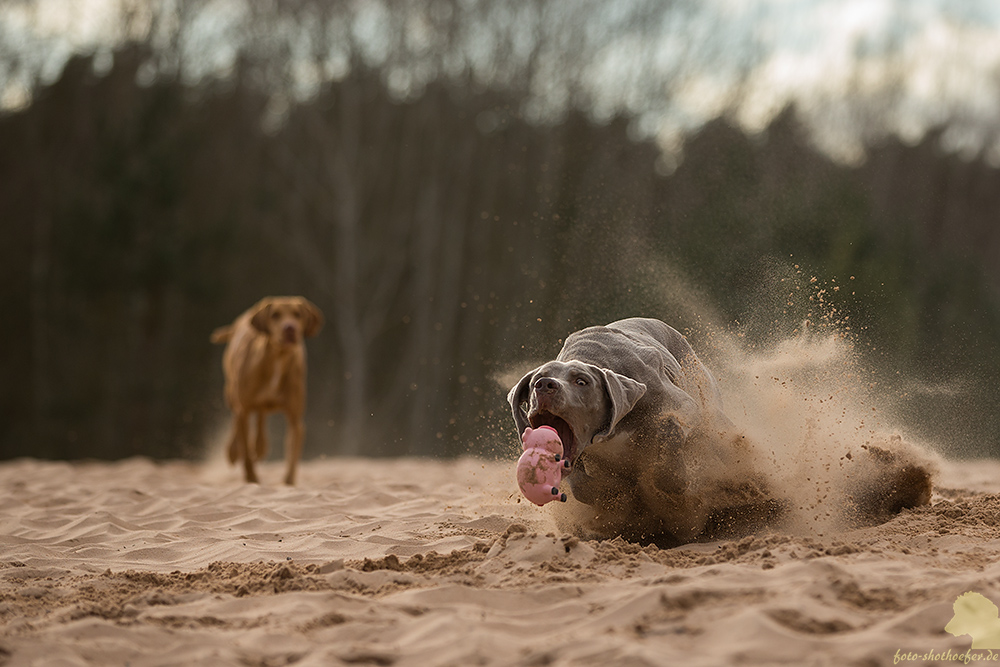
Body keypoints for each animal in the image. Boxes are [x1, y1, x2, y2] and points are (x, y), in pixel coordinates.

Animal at [212, 298, 324, 486]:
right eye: (275, 315)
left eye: (297, 315)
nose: (290, 328)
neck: (278, 358)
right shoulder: (244, 410)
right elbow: (246, 454)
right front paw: (252, 478)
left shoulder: (295, 419)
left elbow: (292, 456)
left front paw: (288, 482)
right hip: (231, 393)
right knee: (237, 418)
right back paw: (234, 451)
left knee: (261, 417)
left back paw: (260, 446)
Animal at [512, 320, 932, 548]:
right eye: (536, 380)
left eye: (581, 381)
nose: (545, 385)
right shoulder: (583, 459)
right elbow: (586, 486)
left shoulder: (679, 413)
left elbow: (670, 469)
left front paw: (674, 505)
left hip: (714, 413)